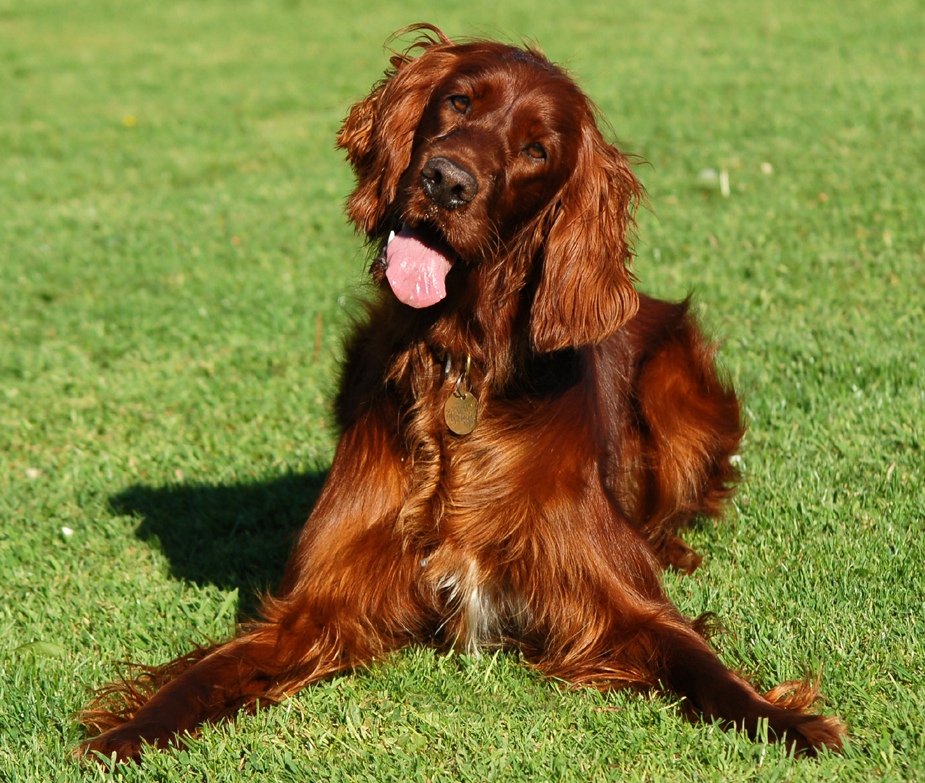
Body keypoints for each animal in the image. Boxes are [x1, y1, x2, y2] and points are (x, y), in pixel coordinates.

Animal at [81, 27, 844, 764]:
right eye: (458, 102)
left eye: (537, 149)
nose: (445, 180)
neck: (457, 364)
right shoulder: (313, 607)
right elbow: (209, 673)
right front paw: (131, 728)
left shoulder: (617, 601)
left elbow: (699, 661)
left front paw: (788, 720)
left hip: (677, 391)